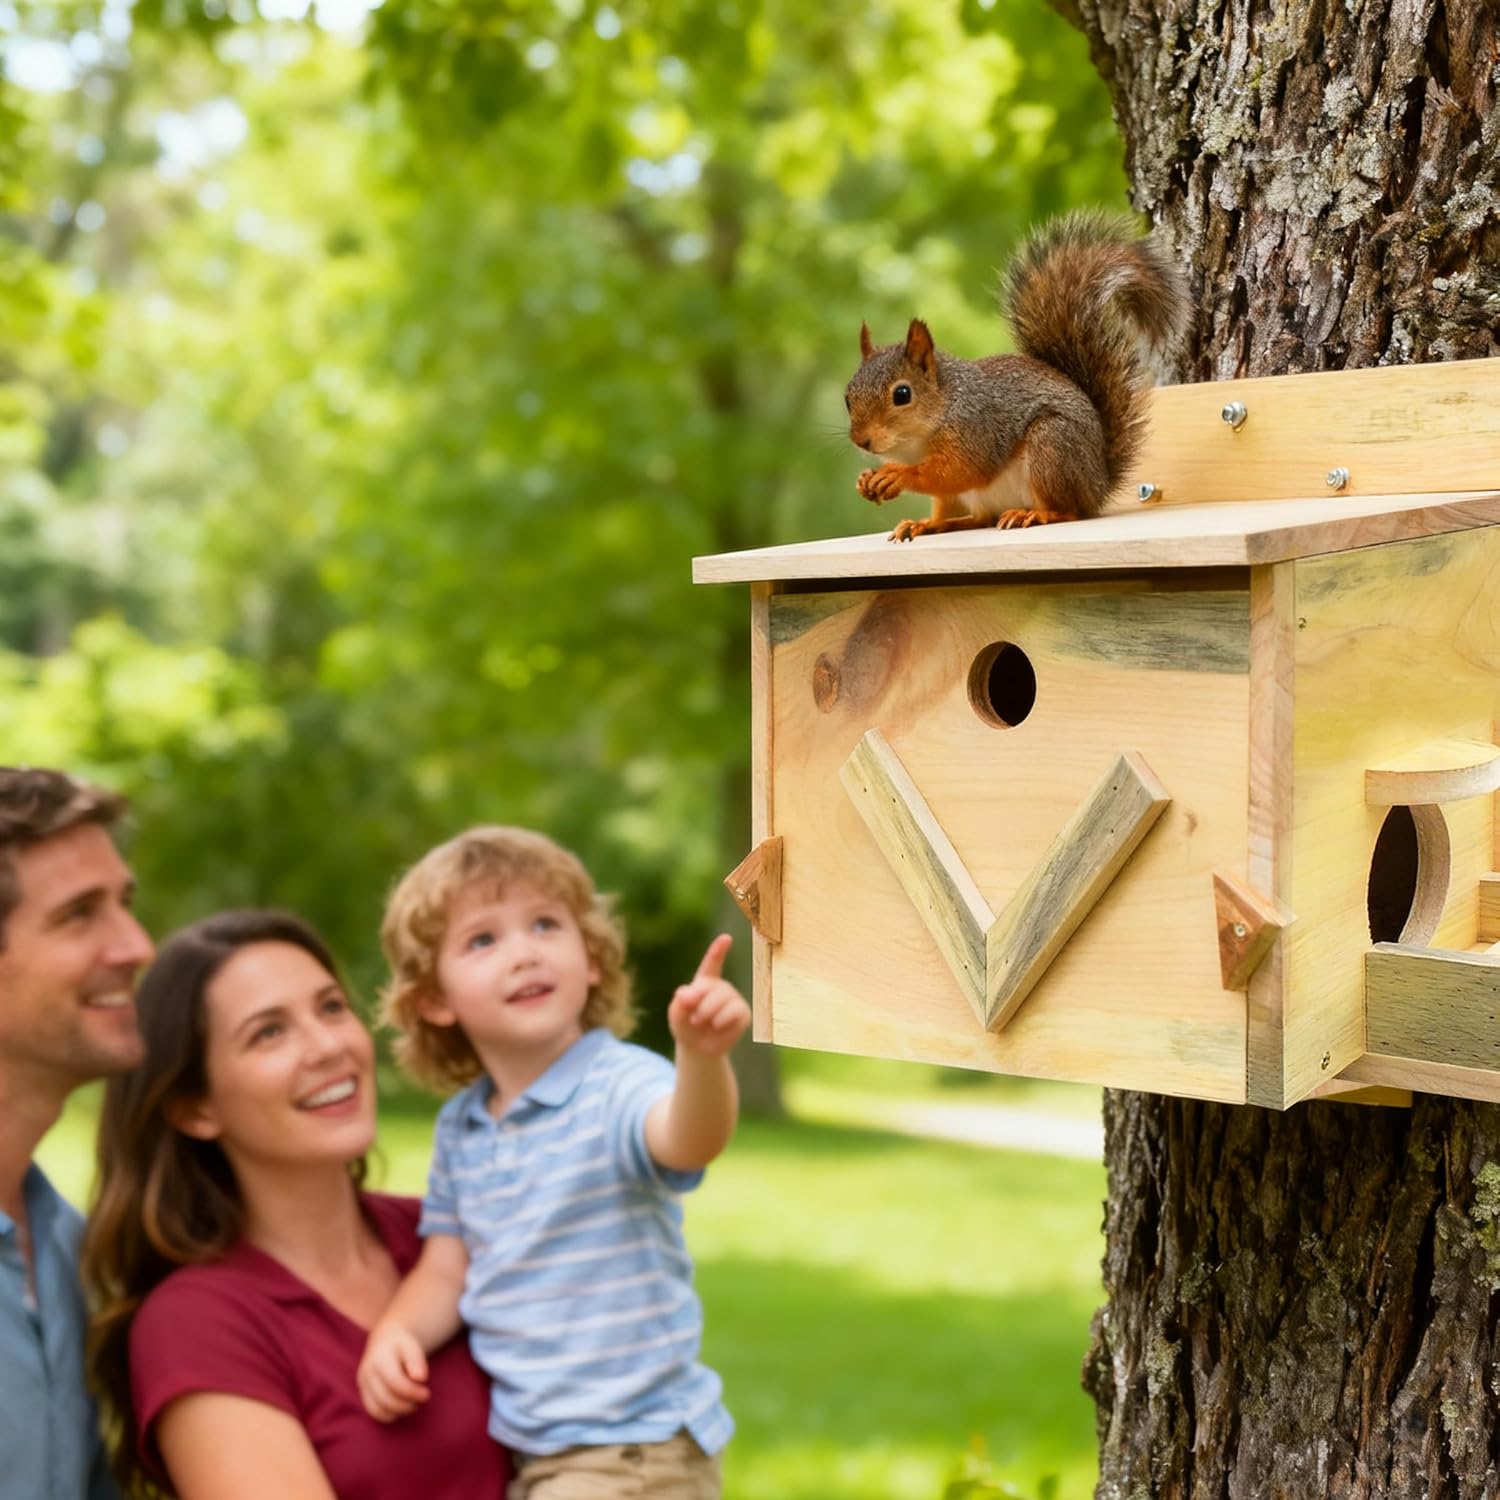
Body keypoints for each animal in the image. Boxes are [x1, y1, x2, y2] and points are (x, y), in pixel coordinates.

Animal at [844, 212, 1188, 542]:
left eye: (902, 394)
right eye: (847, 397)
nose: (861, 440)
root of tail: (1098, 484)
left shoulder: (976, 432)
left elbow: (959, 470)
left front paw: (898, 475)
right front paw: (865, 480)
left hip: (1052, 448)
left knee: (1069, 511)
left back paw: (1035, 515)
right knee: (971, 518)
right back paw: (928, 525)